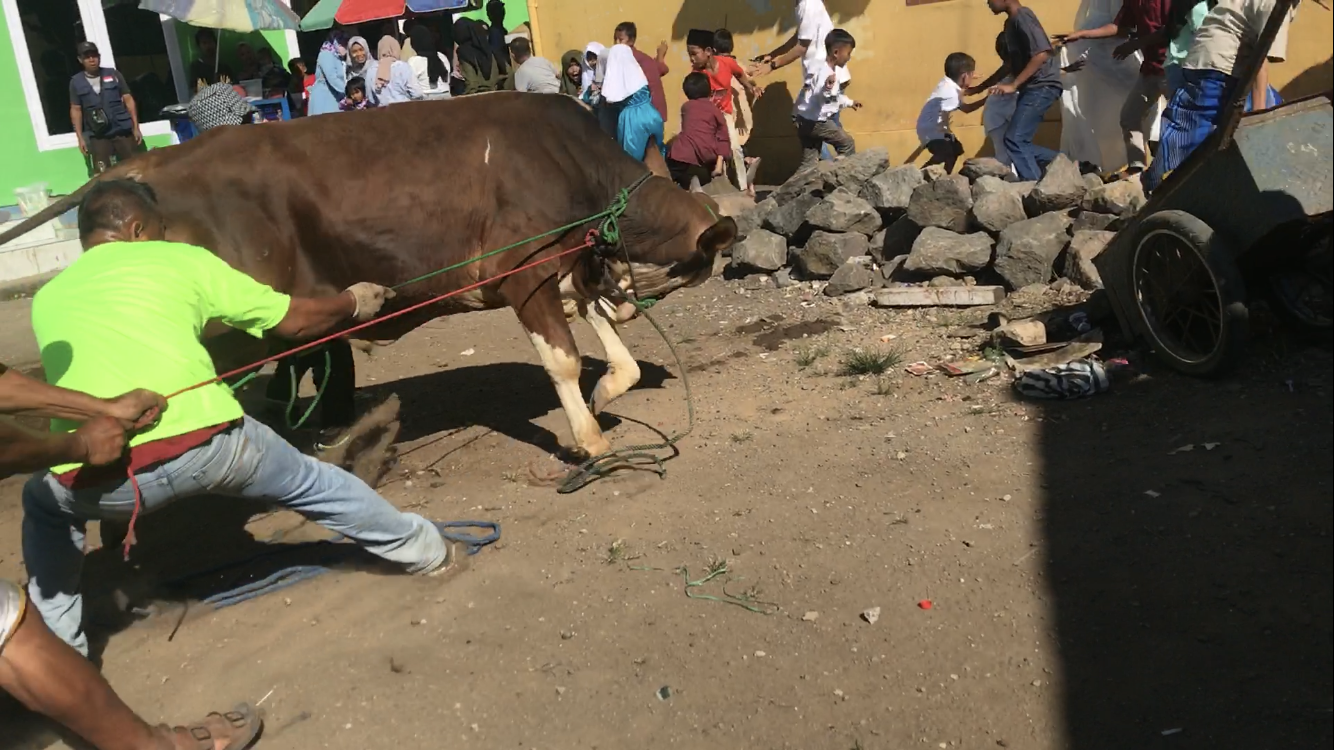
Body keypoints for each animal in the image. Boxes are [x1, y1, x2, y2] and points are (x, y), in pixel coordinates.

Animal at [5, 93, 741, 456]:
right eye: (701, 265)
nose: (636, 298)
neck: (571, 160)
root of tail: (146, 164)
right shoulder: (523, 266)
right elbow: (561, 359)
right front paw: (588, 438)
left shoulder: (568, 262)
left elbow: (612, 349)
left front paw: (610, 387)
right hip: (215, 331)